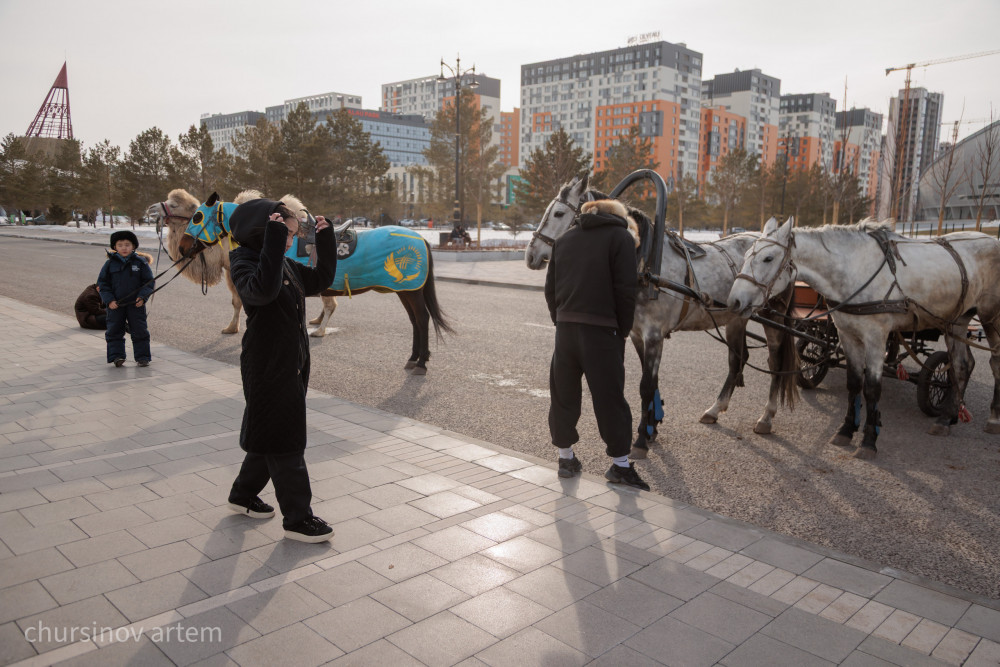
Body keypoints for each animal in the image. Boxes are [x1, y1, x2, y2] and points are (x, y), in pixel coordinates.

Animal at [147, 189, 454, 376]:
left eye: (197, 215)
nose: (184, 246)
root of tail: (421, 239)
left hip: (411, 290)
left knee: (422, 320)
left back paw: (421, 363)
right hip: (406, 291)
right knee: (416, 321)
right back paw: (413, 358)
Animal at [528, 174, 800, 460]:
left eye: (558, 213)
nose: (531, 254)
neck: (646, 262)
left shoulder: (655, 335)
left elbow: (646, 385)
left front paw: (640, 438)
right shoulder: (637, 334)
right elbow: (651, 381)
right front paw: (652, 426)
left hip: (773, 318)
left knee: (775, 362)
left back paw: (766, 416)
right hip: (737, 316)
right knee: (737, 359)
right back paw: (715, 408)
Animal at [728, 219, 1000, 460]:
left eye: (768, 258)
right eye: (747, 254)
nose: (734, 301)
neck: (854, 269)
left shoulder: (876, 337)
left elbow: (871, 388)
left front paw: (869, 441)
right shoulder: (848, 334)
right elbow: (854, 383)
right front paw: (846, 430)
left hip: (991, 319)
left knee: (993, 363)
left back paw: (992, 419)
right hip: (956, 321)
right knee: (962, 365)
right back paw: (947, 418)